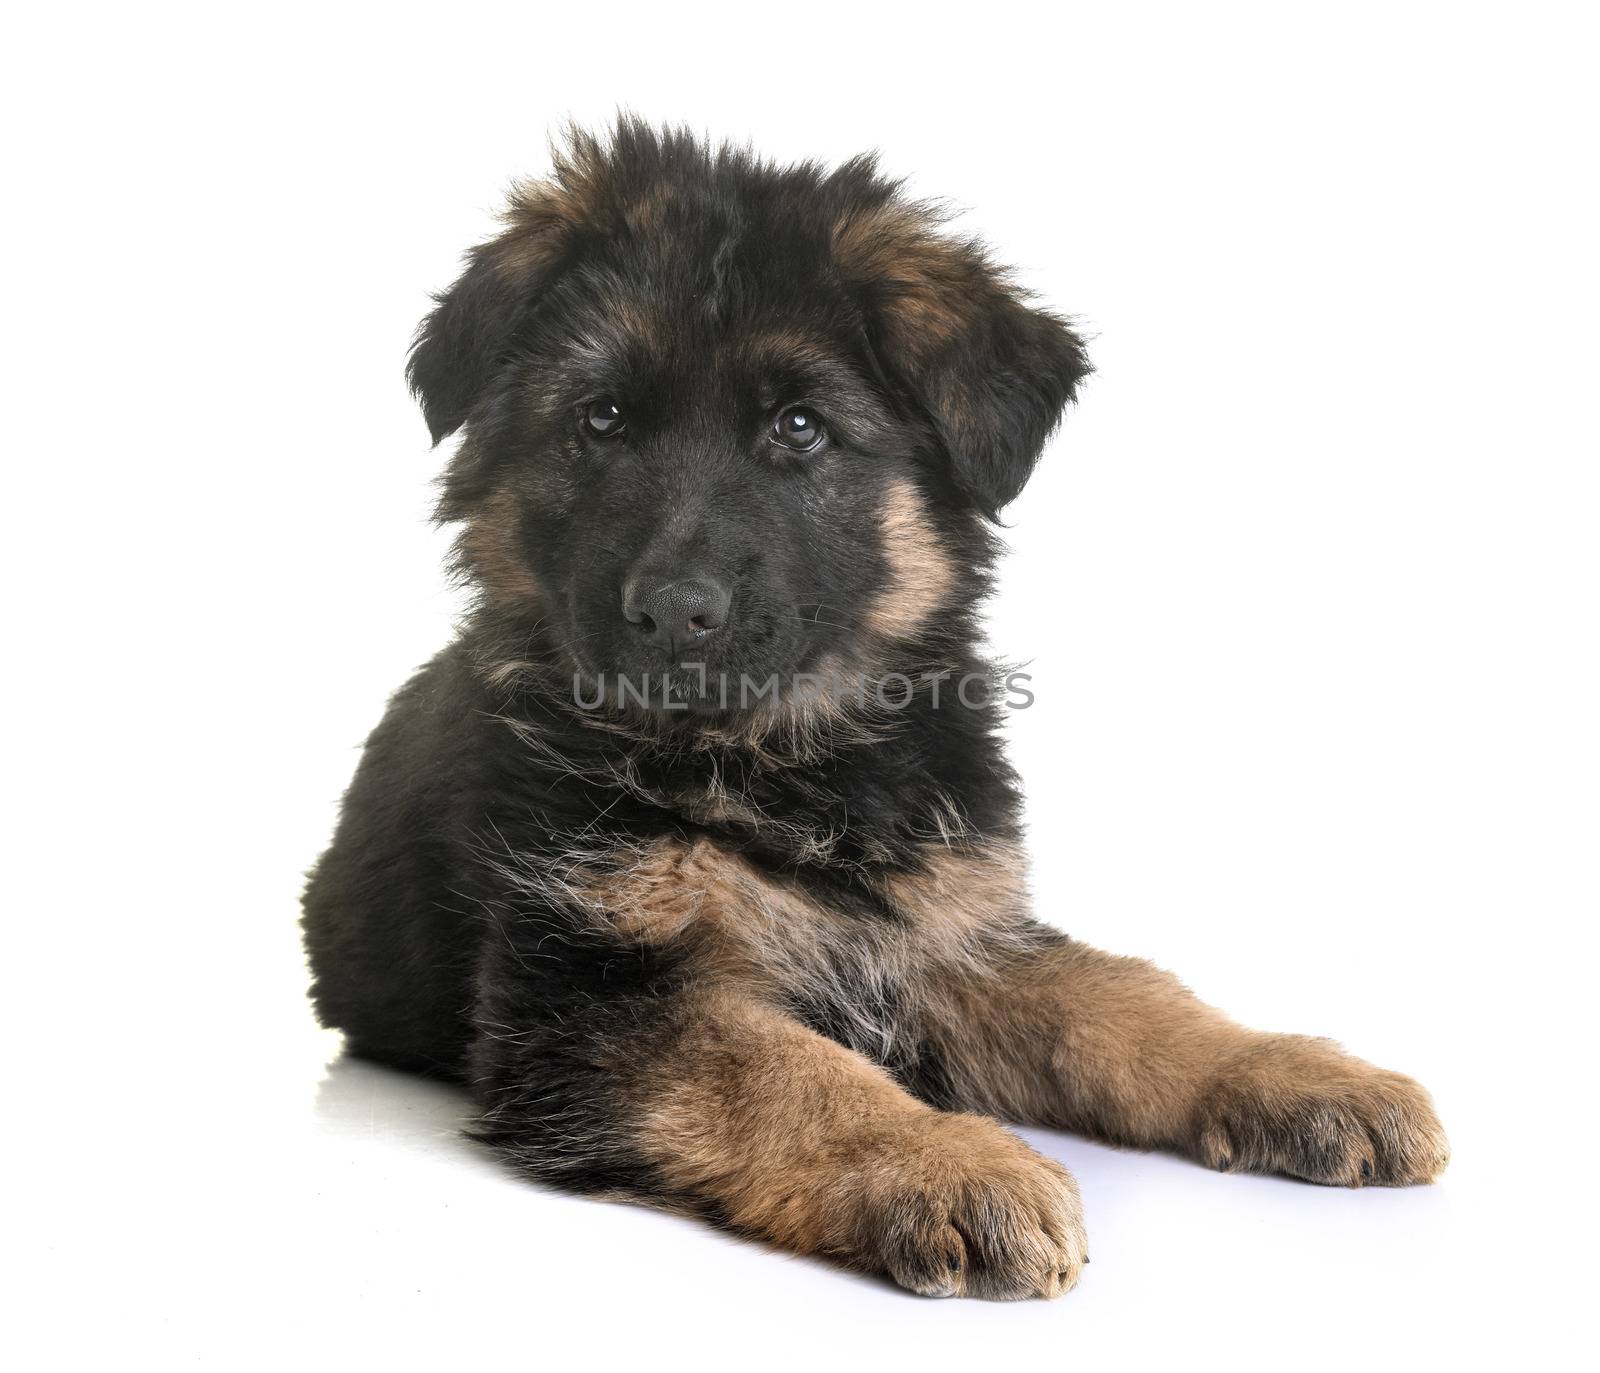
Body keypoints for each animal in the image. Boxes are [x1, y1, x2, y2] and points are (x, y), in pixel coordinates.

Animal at [302, 117, 1452, 1292]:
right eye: (603, 417)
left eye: (800, 426)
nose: (672, 613)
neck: (786, 759)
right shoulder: (583, 992)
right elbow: (787, 1069)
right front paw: (945, 1163)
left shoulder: (946, 933)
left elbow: (1122, 997)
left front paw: (1294, 1071)